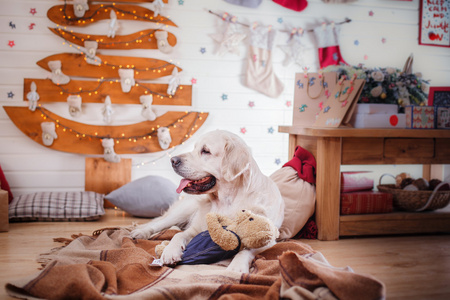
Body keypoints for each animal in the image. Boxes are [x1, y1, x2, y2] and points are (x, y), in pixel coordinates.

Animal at [131, 130, 284, 274]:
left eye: (205, 151)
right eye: (195, 148)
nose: (173, 160)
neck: (227, 201)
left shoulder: (269, 239)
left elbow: (246, 250)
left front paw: (237, 267)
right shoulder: (196, 229)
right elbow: (178, 235)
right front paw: (170, 251)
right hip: (182, 211)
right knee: (158, 224)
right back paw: (140, 232)